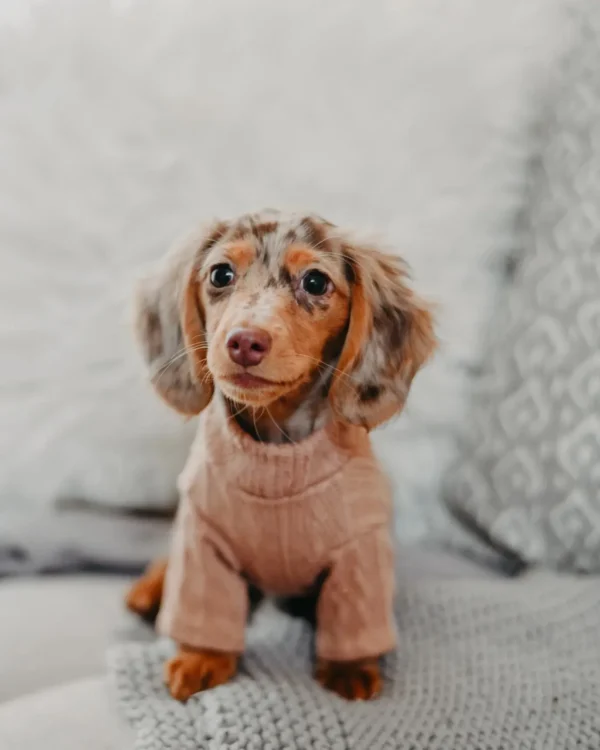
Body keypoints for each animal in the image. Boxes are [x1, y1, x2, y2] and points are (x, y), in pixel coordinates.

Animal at [126, 212, 436, 704]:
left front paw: (350, 668)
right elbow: (203, 602)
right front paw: (202, 658)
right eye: (220, 274)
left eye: (315, 281)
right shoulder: (203, 539)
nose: (244, 342)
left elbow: (353, 614)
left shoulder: (361, 551)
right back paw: (151, 588)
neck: (277, 452)